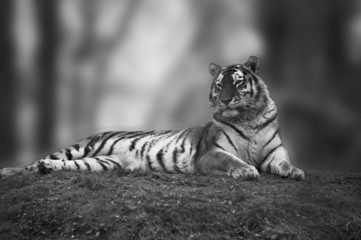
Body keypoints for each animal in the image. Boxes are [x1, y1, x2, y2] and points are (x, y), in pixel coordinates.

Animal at [0, 56, 304, 180]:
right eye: (220, 85)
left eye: (237, 82)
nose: (225, 100)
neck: (247, 118)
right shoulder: (211, 153)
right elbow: (232, 160)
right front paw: (246, 170)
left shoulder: (274, 153)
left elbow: (285, 163)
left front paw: (296, 172)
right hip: (79, 147)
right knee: (34, 162)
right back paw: (10, 171)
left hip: (101, 162)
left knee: (59, 165)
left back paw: (47, 169)